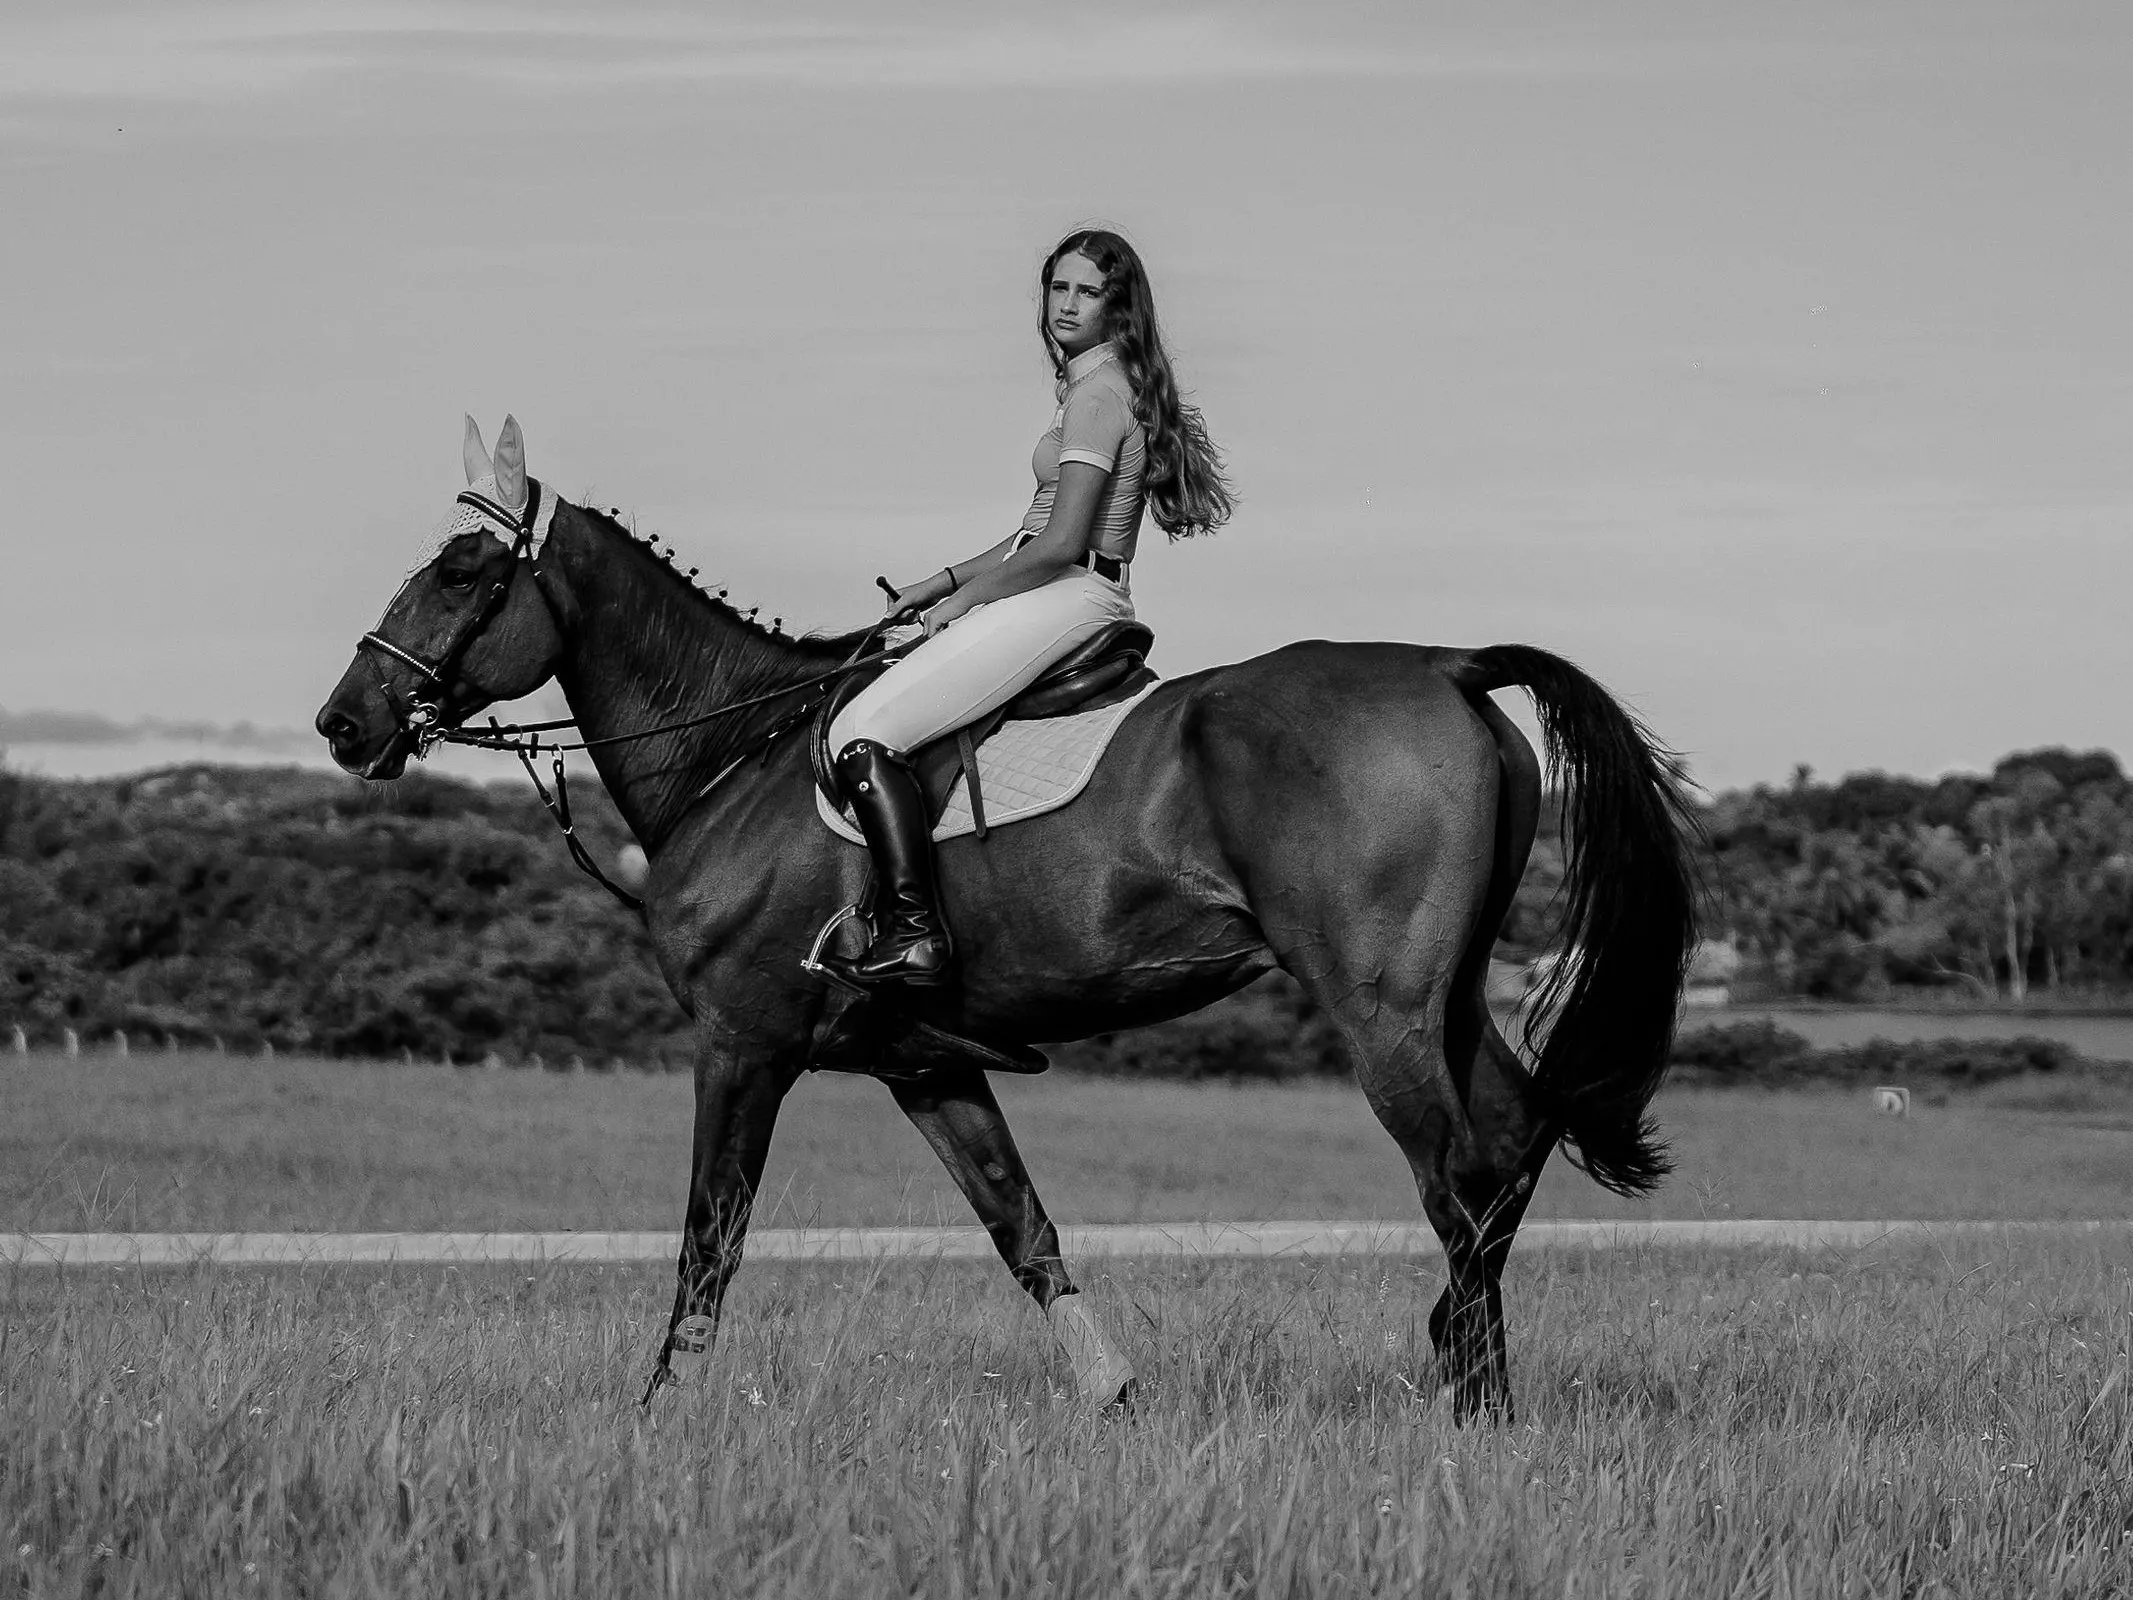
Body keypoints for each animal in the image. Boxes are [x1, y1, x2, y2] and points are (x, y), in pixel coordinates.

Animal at [315, 419, 1700, 1423]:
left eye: (462, 572)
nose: (345, 721)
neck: (728, 755)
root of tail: (1447, 666)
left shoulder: (740, 1045)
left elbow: (711, 1236)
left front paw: (657, 1416)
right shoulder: (925, 1063)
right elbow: (1020, 1227)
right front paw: (1116, 1398)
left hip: (1382, 1009)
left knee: (1458, 1180)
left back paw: (1466, 1406)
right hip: (1450, 992)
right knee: (1512, 1140)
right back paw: (1478, 1386)